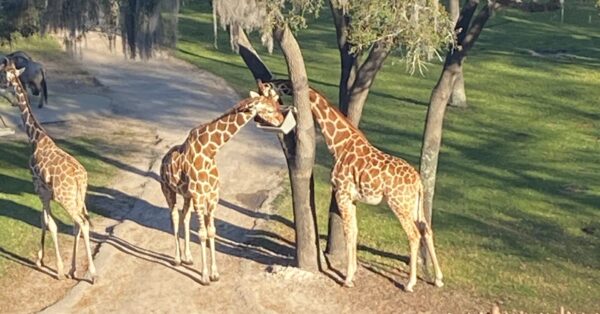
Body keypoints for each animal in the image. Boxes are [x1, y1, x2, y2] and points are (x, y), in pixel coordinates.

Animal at [0, 57, 96, 284]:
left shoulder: (39, 187)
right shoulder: (45, 191)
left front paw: (52, 267)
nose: (2, 87)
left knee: (82, 223)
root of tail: (80, 178)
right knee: (79, 223)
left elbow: (48, 222)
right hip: (78, 197)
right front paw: (45, 261)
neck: (35, 137)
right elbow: (46, 221)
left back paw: (92, 273)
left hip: (65, 198)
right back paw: (74, 269)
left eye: (2, 73)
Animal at [157, 83, 284, 284]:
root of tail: (163, 160)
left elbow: (211, 231)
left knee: (185, 216)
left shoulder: (212, 197)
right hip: (168, 190)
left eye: (278, 105)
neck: (210, 151)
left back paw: (188, 258)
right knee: (174, 216)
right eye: (269, 109)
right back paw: (177, 259)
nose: (281, 121)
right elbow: (202, 233)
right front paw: (204, 276)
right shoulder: (199, 196)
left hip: (186, 195)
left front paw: (215, 274)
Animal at [260, 80, 442, 292]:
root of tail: (419, 181)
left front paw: (347, 278)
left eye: (276, 87)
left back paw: (410, 283)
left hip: (399, 204)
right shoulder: (353, 198)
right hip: (414, 204)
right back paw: (438, 278)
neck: (339, 144)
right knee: (426, 229)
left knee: (413, 234)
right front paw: (352, 273)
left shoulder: (343, 193)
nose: (266, 83)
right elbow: (354, 231)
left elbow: (348, 231)